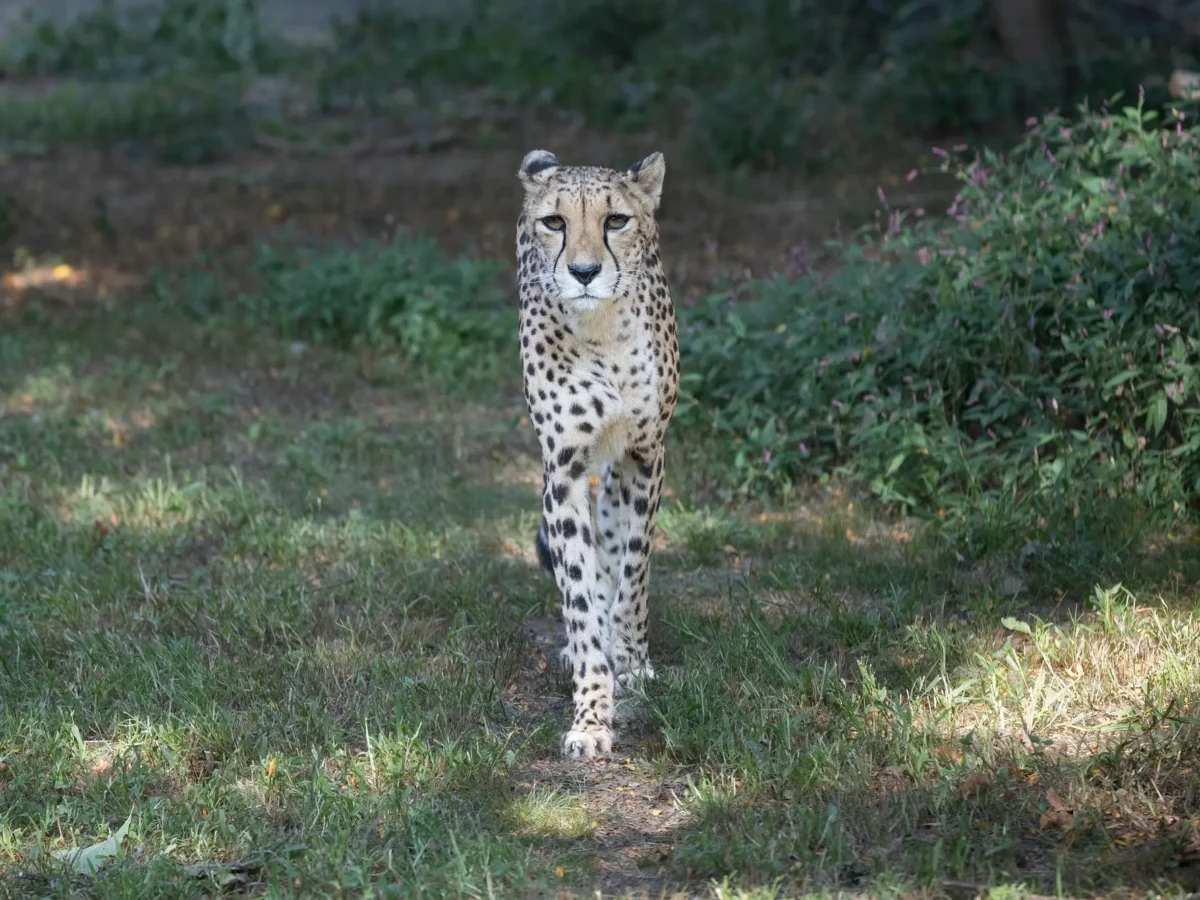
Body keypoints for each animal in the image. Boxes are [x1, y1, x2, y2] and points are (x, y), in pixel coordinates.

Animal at [515, 148, 680, 759]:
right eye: (554, 222)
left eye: (616, 221)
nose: (584, 273)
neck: (602, 330)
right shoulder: (562, 467)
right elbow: (580, 593)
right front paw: (591, 714)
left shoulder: (644, 456)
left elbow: (632, 574)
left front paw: (630, 662)